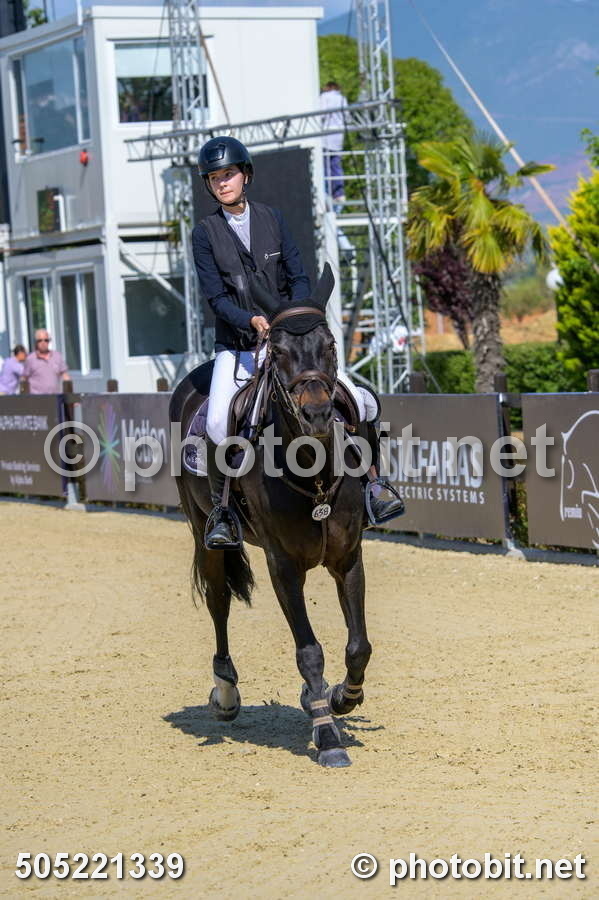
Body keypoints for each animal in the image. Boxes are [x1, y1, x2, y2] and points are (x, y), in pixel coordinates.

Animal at [170, 270, 372, 767]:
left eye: (332, 345)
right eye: (277, 352)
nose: (317, 413)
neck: (312, 471)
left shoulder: (348, 558)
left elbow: (358, 645)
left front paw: (339, 698)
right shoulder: (283, 567)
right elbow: (309, 651)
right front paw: (328, 735)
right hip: (204, 536)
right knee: (219, 602)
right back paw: (225, 693)